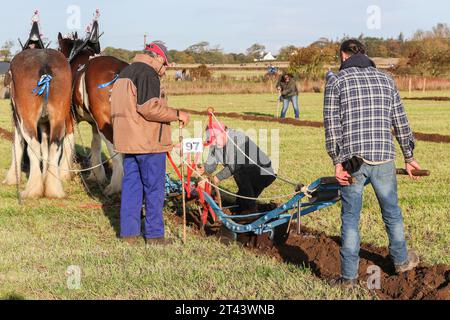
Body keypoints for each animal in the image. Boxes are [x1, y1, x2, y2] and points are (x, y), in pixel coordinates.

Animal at [3, 48, 72, 198]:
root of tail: (44, 62)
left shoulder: (16, 118)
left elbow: (17, 145)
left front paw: (12, 178)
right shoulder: (44, 124)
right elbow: (45, 147)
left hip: (26, 119)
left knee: (33, 146)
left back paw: (32, 190)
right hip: (58, 119)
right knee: (54, 146)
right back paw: (53, 189)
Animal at [58, 23, 128, 194]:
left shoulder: (70, 118)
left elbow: (68, 142)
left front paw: (64, 173)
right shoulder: (94, 124)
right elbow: (95, 145)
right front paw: (96, 176)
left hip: (105, 123)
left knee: (116, 152)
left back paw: (115, 186)